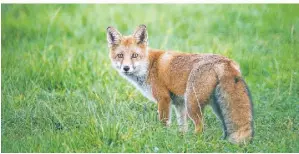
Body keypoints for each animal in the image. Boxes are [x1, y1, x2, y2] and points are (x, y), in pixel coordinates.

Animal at [106, 24, 254, 144]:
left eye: (134, 55)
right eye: (120, 56)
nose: (126, 68)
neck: (149, 66)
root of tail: (226, 61)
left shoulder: (164, 99)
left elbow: (164, 123)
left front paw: (163, 137)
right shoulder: (179, 103)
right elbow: (182, 126)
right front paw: (180, 138)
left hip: (192, 104)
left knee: (201, 127)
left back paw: (193, 142)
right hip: (215, 106)